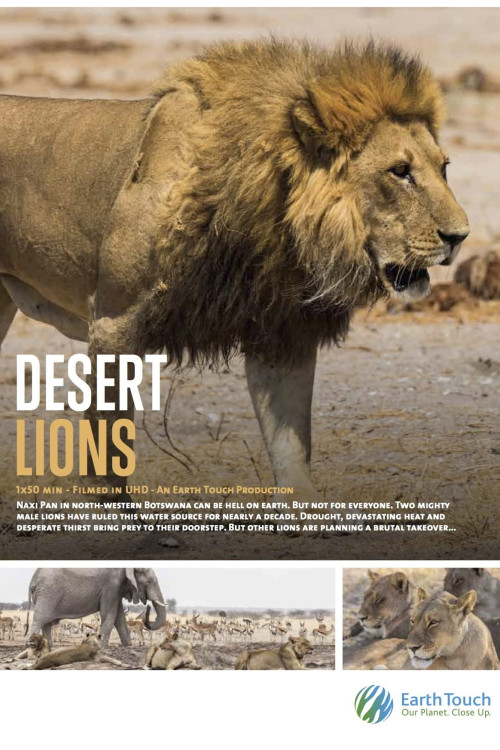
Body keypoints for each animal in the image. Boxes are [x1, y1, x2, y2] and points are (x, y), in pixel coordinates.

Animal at [0, 40, 468, 499]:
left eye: (444, 168)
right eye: (400, 171)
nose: (460, 236)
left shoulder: (282, 331)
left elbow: (291, 447)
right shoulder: (115, 322)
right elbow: (108, 448)